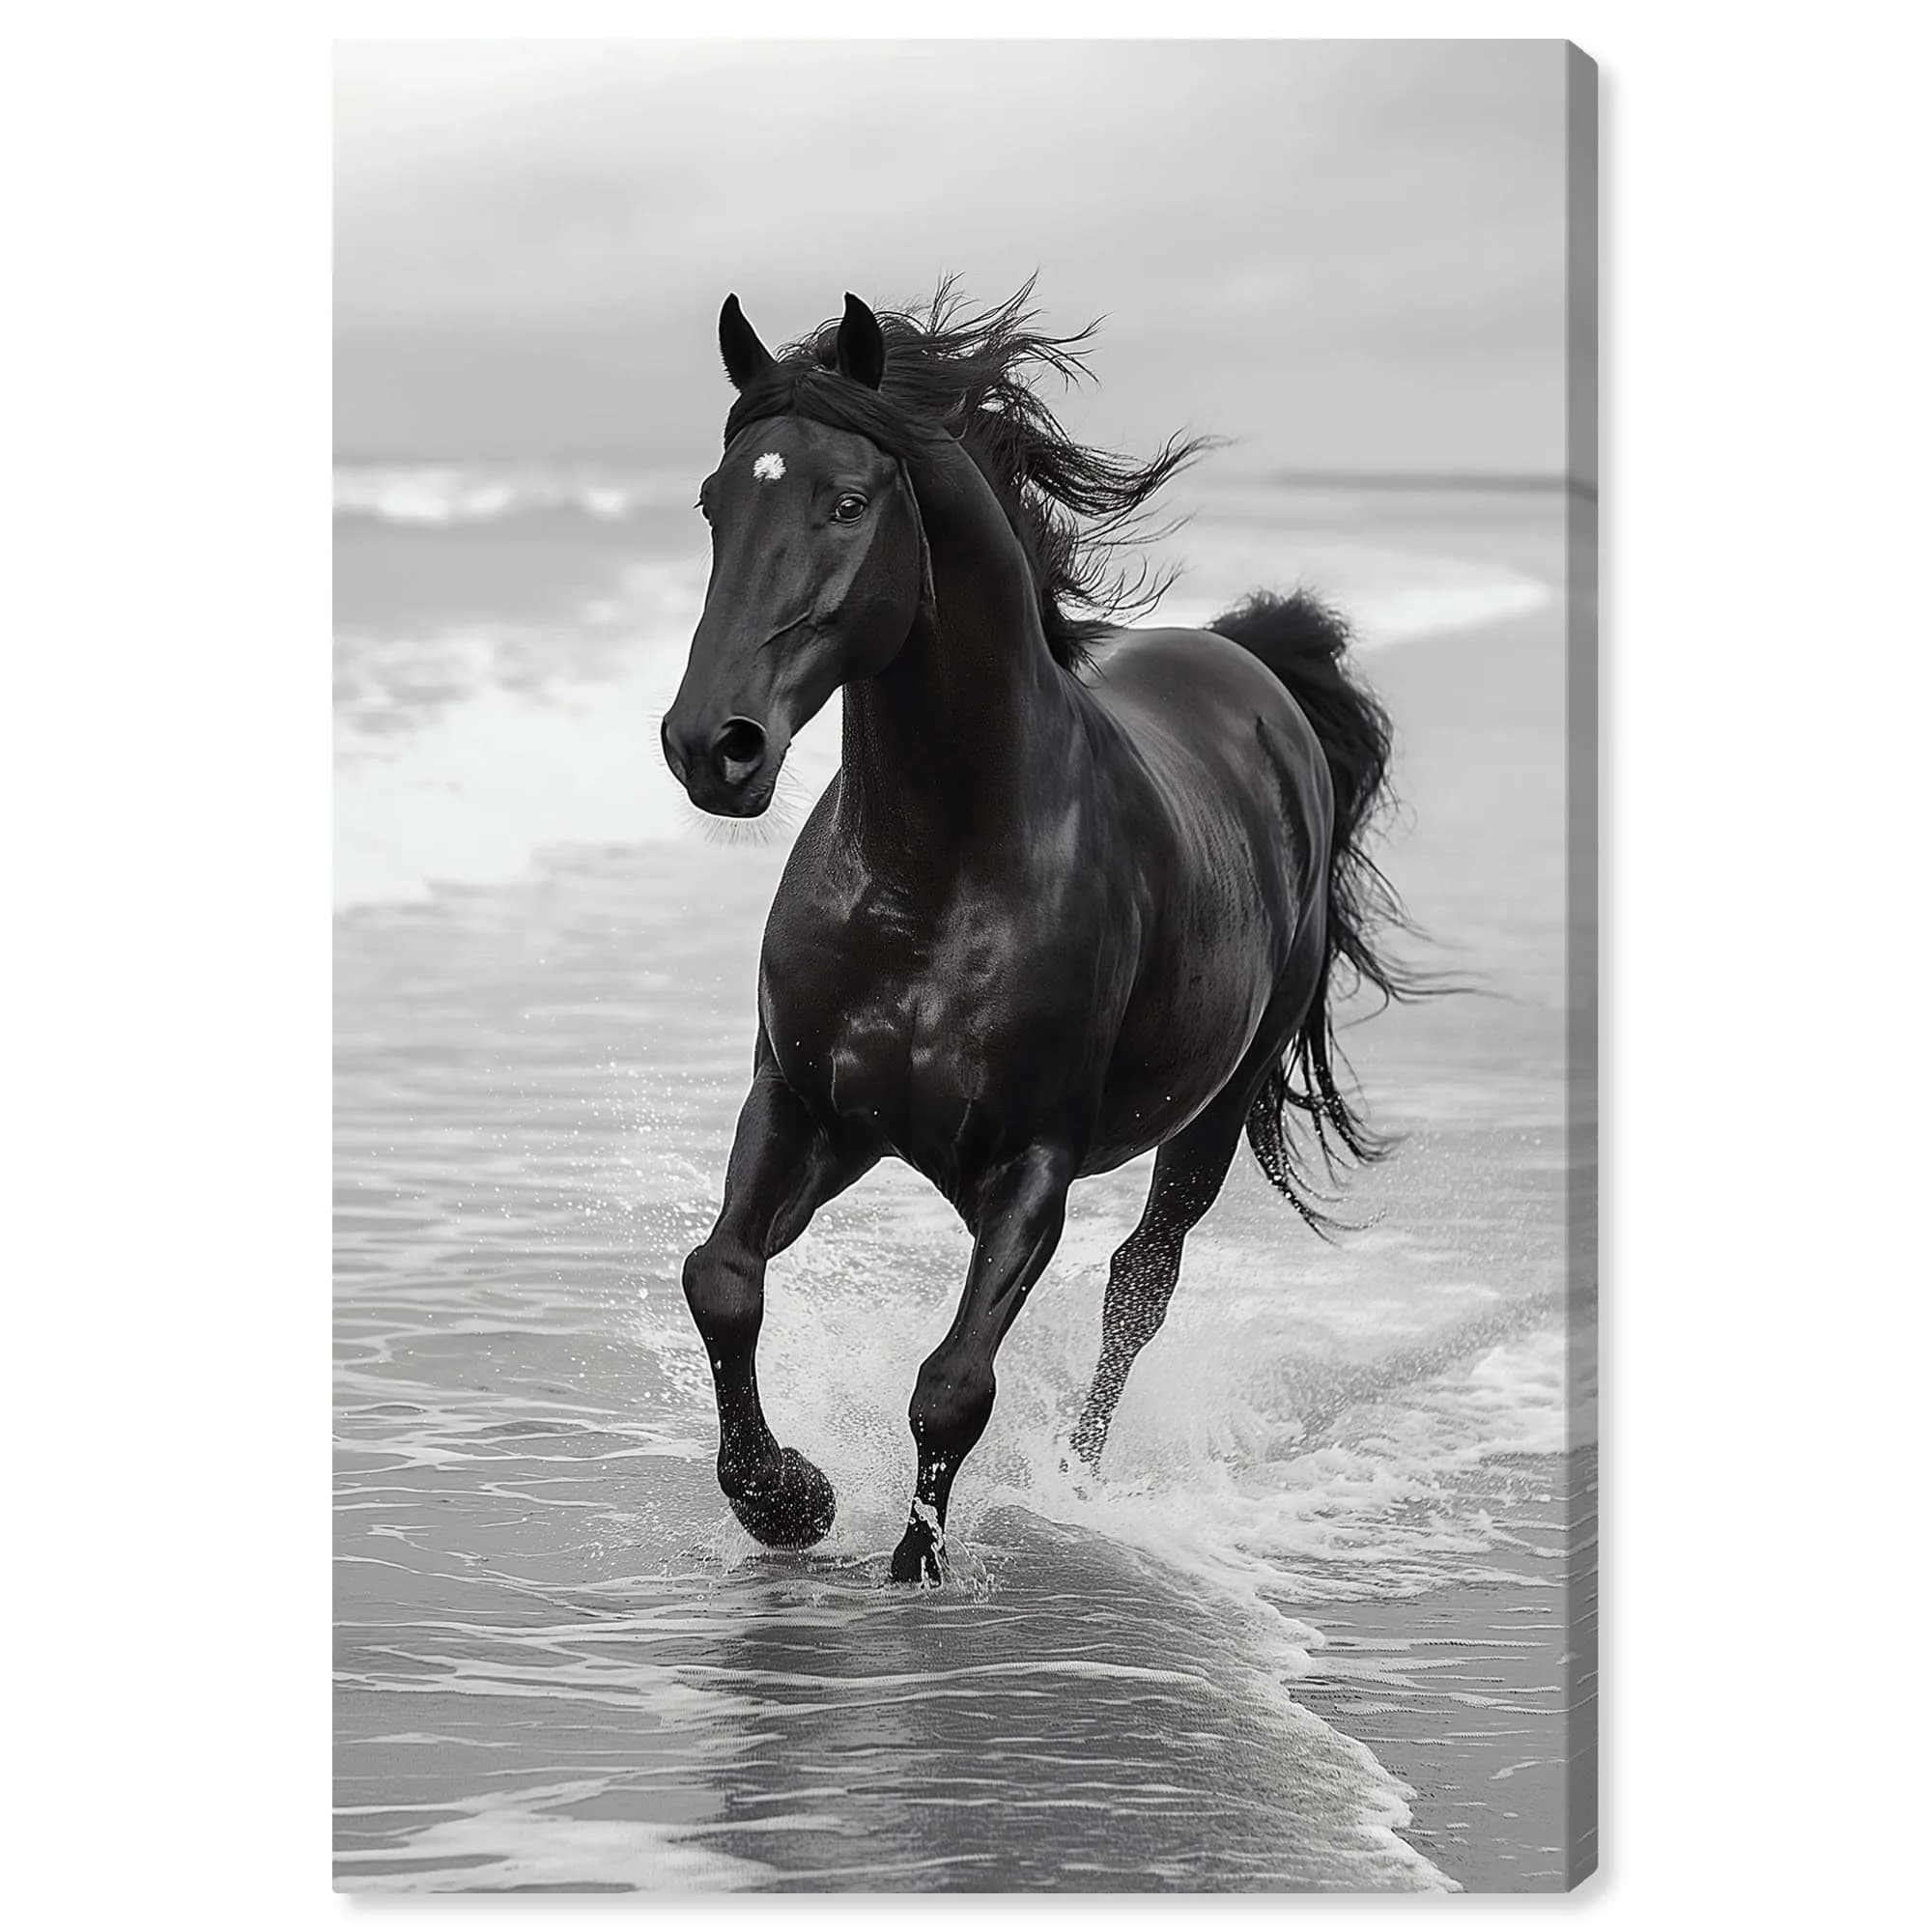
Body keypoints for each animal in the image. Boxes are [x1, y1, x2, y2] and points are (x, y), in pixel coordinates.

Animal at [660, 284, 1415, 1584]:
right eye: (716, 501)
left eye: (845, 501)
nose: (713, 746)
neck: (935, 873)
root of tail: (1253, 669)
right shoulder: (804, 1107)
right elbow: (724, 1280)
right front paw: (789, 1498)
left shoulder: (1031, 1162)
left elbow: (952, 1385)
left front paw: (912, 1576)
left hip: (1213, 1112)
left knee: (1138, 1288)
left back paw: (1078, 1482)